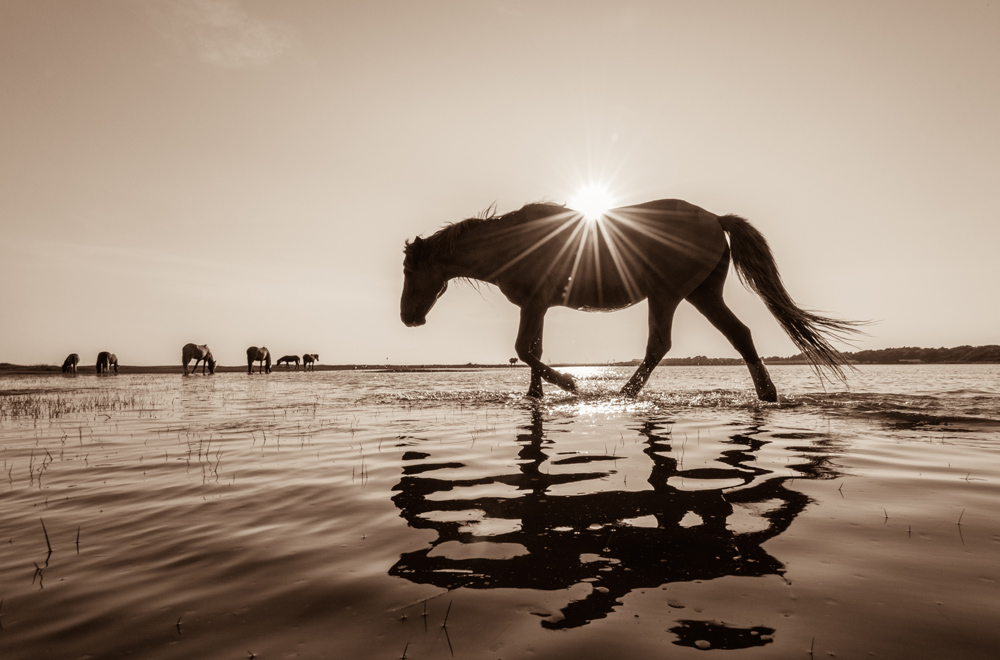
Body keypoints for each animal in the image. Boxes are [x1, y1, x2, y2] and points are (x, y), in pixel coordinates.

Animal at [402, 199, 864, 400]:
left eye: (408, 271)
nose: (408, 318)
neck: (511, 243)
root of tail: (715, 219)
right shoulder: (537, 307)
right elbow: (534, 349)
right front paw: (536, 394)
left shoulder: (533, 303)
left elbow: (525, 348)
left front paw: (571, 383)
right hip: (702, 294)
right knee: (740, 335)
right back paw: (766, 393)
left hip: (667, 294)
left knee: (659, 345)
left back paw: (624, 392)